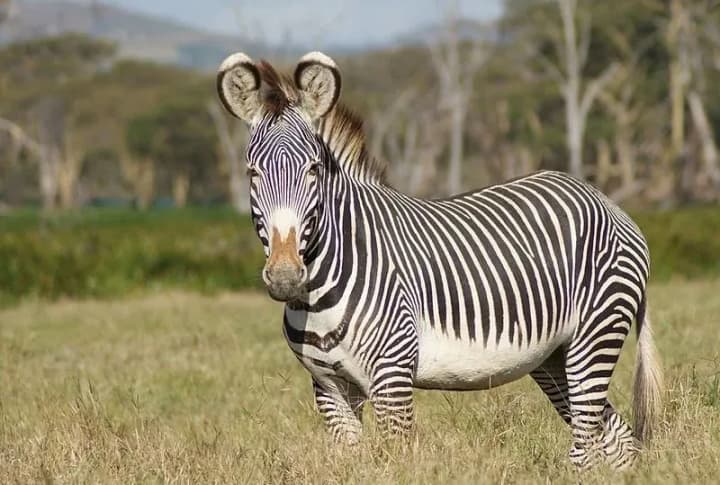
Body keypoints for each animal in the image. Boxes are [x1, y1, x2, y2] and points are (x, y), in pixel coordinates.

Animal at [216, 51, 663, 469]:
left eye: (313, 170)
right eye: (252, 173)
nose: (285, 277)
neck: (319, 290)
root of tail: (606, 202)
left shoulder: (392, 376)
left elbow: (396, 459)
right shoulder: (328, 387)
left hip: (595, 335)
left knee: (586, 446)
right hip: (555, 356)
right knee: (617, 441)